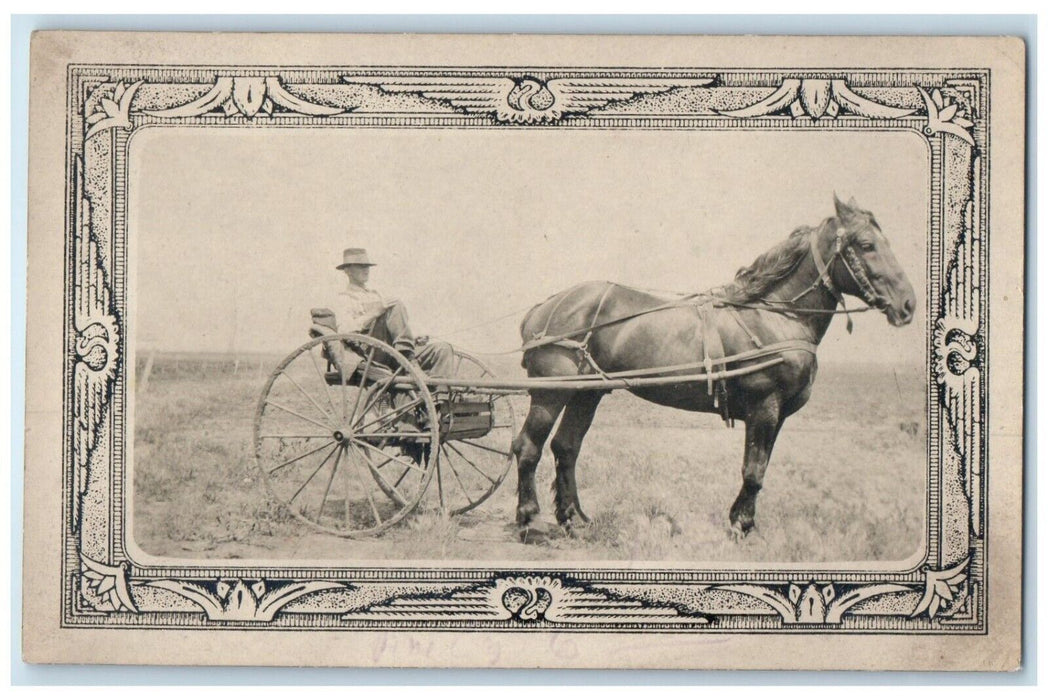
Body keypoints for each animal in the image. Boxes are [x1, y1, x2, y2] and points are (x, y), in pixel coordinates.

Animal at [511, 197, 913, 540]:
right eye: (866, 244)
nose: (908, 304)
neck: (777, 315)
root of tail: (543, 308)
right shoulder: (764, 408)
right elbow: (752, 471)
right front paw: (740, 526)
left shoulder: (778, 415)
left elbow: (760, 469)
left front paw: (742, 522)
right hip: (551, 393)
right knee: (528, 446)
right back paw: (530, 518)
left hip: (587, 393)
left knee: (566, 447)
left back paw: (572, 519)